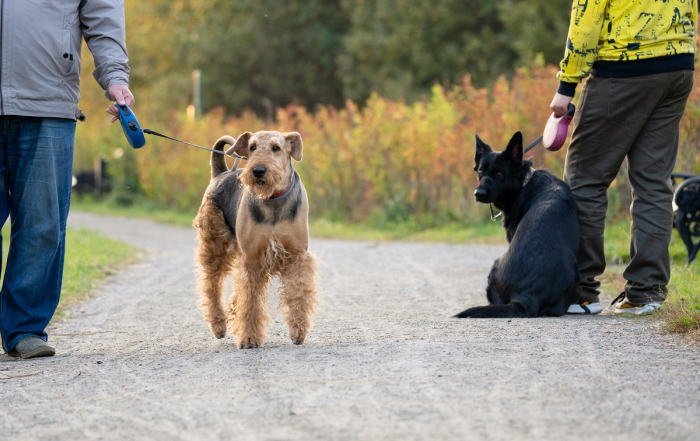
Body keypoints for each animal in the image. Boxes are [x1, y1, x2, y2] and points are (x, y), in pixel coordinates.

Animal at [454, 131, 580, 316]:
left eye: (499, 173)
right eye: (481, 171)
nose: (479, 193)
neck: (524, 183)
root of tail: (527, 296)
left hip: (495, 265)